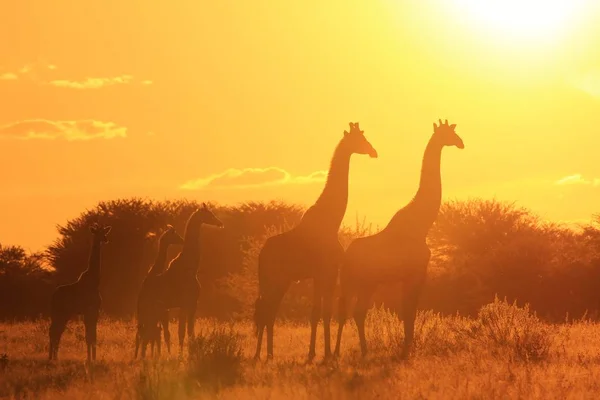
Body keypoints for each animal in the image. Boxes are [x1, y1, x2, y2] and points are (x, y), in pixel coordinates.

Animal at [48, 223, 112, 360]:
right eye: (97, 232)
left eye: (105, 232)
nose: (105, 239)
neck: (94, 281)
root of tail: (53, 296)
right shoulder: (89, 310)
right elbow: (89, 336)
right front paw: (89, 359)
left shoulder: (94, 311)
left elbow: (93, 335)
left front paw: (93, 358)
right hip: (60, 312)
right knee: (54, 331)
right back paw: (52, 357)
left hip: (62, 313)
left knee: (56, 331)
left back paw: (54, 357)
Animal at [135, 223, 184, 358]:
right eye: (175, 234)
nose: (183, 240)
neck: (155, 271)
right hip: (147, 315)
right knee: (144, 334)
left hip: (148, 317)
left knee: (144, 333)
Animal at [151, 205, 224, 354]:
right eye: (209, 214)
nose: (220, 223)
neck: (191, 268)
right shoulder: (185, 303)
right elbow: (182, 332)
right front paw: (181, 354)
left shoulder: (192, 304)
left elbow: (189, 331)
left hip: (162, 311)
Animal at [254, 122, 378, 362]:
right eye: (360, 139)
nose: (373, 151)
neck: (331, 220)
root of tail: (261, 255)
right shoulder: (327, 273)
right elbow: (324, 312)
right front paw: (326, 354)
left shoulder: (321, 275)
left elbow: (317, 313)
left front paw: (314, 353)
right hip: (276, 279)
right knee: (265, 311)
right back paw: (260, 355)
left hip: (278, 281)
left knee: (267, 311)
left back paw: (268, 354)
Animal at [332, 119, 464, 360]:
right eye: (449, 134)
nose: (461, 143)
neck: (422, 224)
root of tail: (346, 256)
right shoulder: (416, 273)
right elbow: (409, 311)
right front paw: (407, 350)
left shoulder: (407, 276)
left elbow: (408, 311)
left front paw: (407, 347)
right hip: (354, 282)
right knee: (347, 310)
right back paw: (341, 352)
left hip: (366, 284)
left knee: (356, 311)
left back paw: (363, 351)